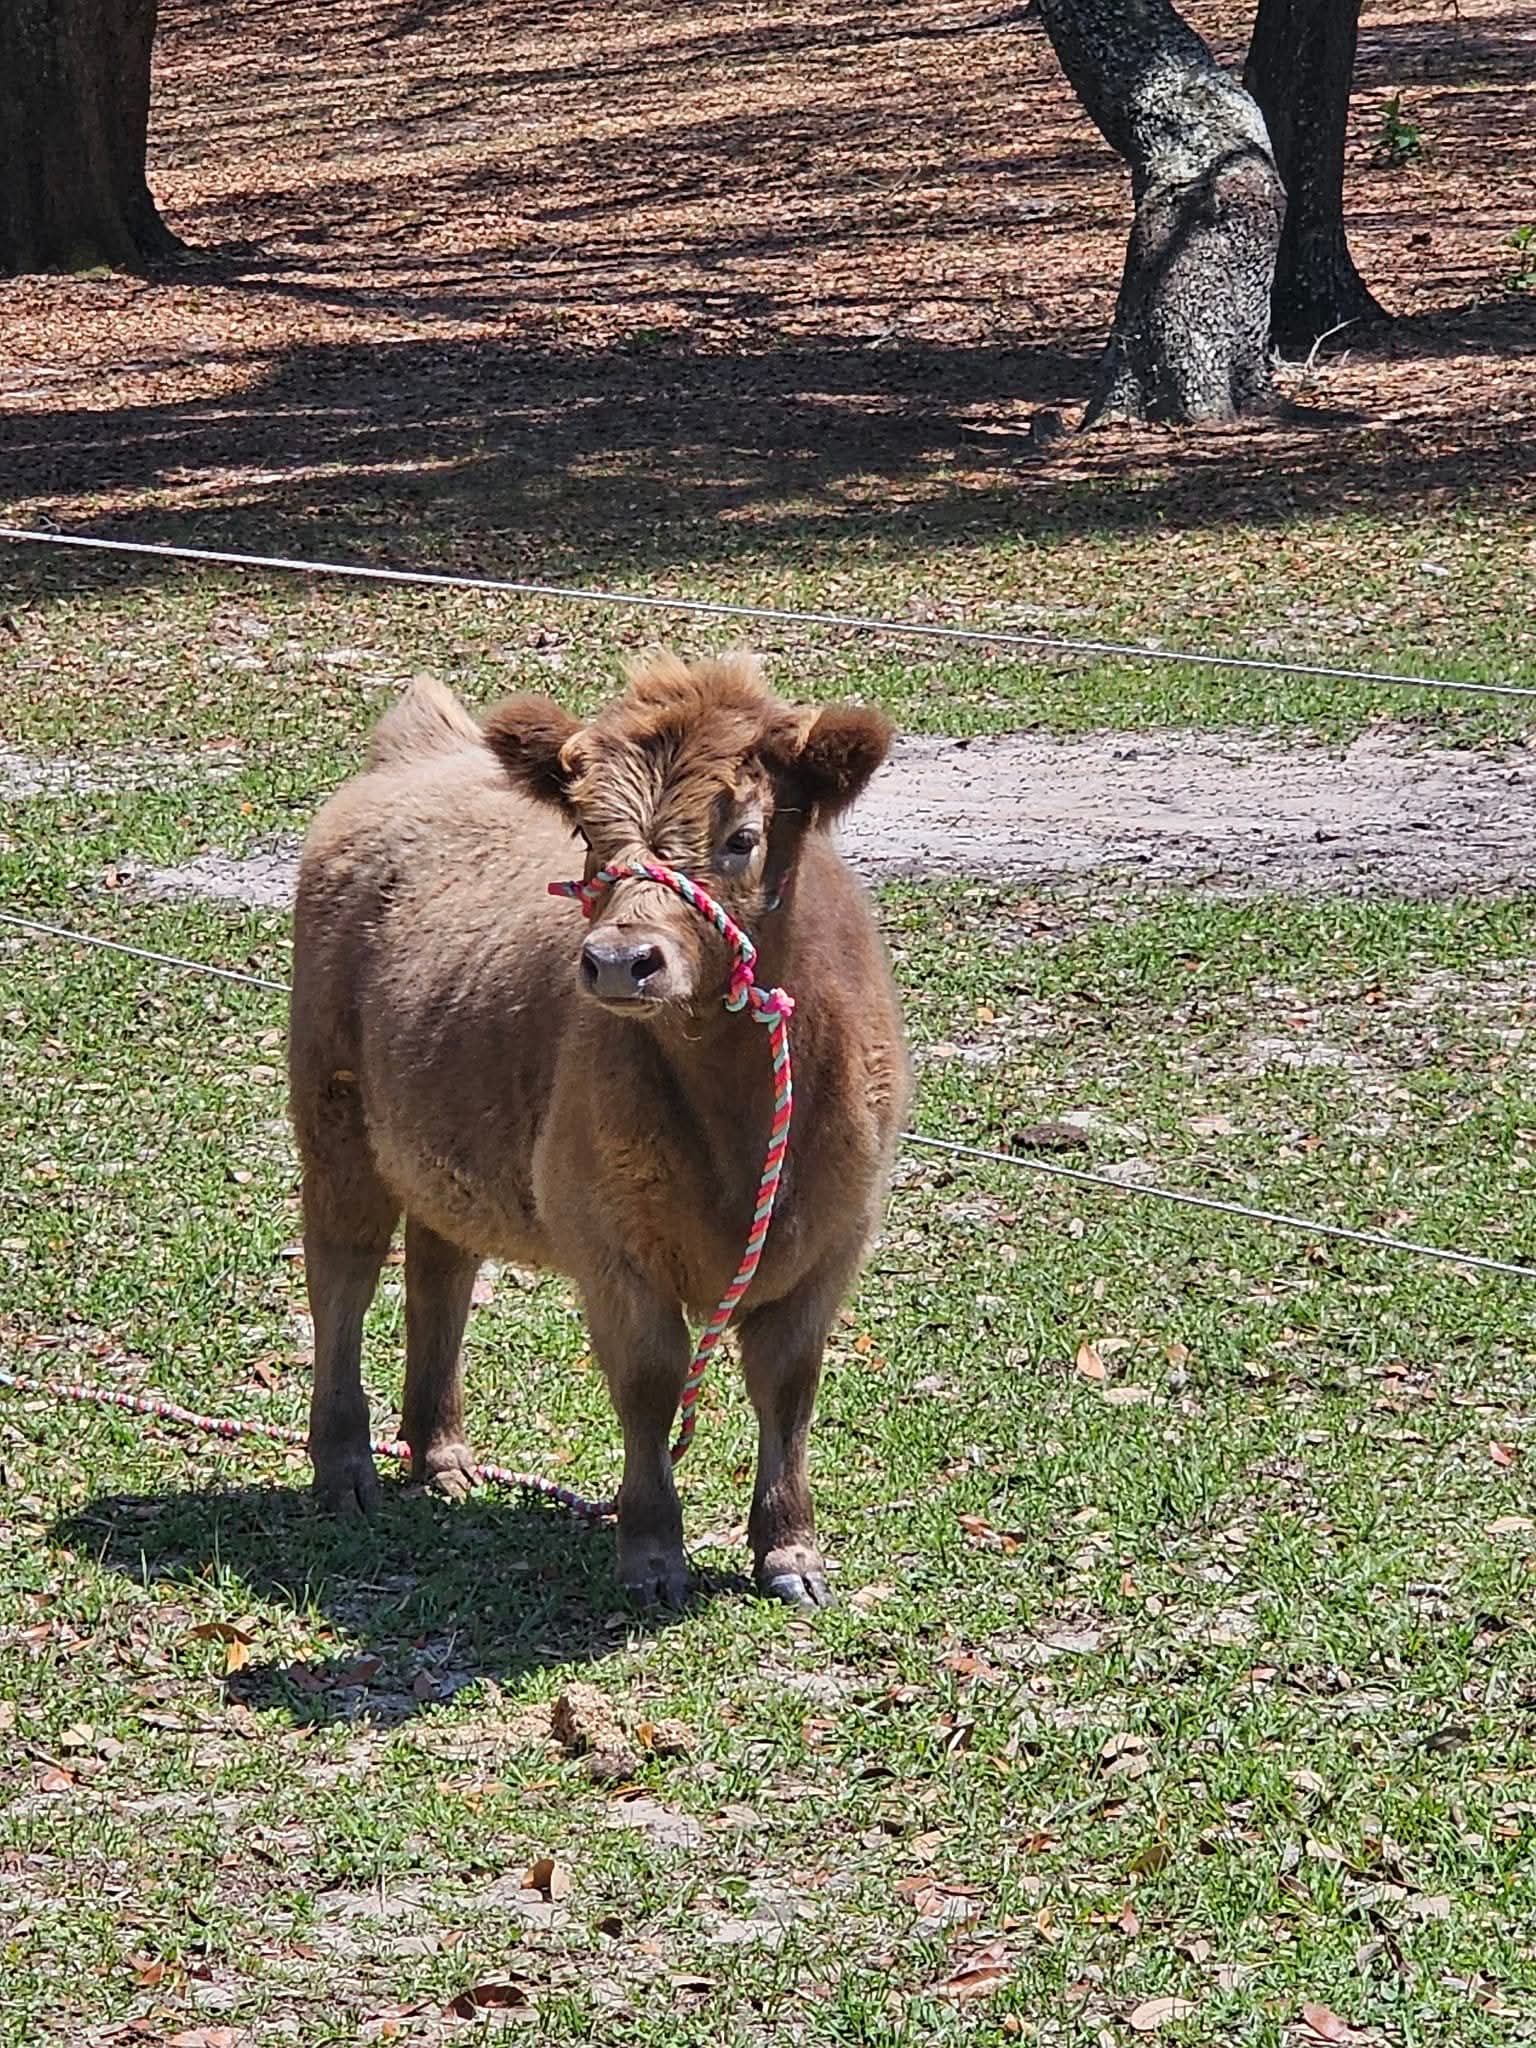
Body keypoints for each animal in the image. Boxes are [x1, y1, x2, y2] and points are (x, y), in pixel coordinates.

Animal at [288, 650, 908, 1609]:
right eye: (587, 834)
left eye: (741, 837)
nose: (620, 961)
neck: (736, 1112)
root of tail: (422, 753)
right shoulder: (614, 1241)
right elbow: (651, 1381)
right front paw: (651, 1553)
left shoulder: (834, 1236)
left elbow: (788, 1385)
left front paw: (790, 1551)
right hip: (335, 1120)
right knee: (342, 1278)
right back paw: (345, 1465)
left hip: (442, 1139)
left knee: (440, 1274)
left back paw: (441, 1455)